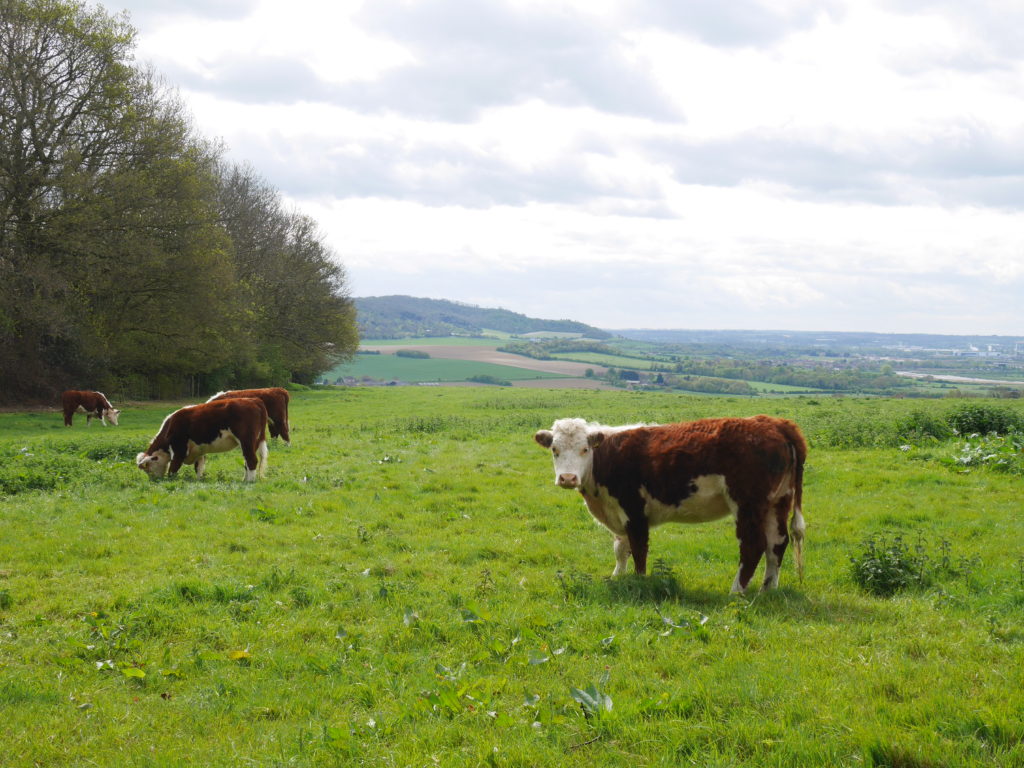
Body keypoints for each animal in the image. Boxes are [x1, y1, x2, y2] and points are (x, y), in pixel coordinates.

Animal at [136, 398, 269, 482]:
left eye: (148, 468)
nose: (154, 481)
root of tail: (254, 400)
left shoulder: (179, 449)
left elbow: (173, 468)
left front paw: (171, 481)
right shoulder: (198, 451)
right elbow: (199, 468)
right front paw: (199, 481)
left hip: (246, 440)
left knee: (251, 460)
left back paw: (249, 482)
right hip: (253, 442)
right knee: (247, 461)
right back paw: (244, 479)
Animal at [534, 415, 807, 593]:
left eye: (584, 449)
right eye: (555, 449)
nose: (567, 478)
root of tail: (774, 423)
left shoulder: (634, 511)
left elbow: (639, 550)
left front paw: (639, 582)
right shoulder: (617, 512)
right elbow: (621, 548)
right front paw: (616, 576)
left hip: (748, 504)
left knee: (753, 545)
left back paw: (736, 591)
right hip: (778, 500)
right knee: (777, 543)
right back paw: (768, 589)